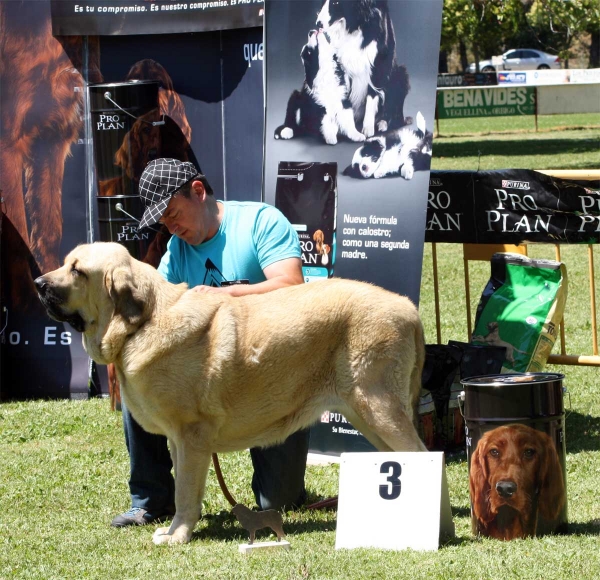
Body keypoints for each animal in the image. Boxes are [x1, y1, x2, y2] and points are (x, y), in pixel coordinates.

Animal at [35, 241, 426, 544]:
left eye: (77, 270)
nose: (38, 283)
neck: (143, 323)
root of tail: (408, 308)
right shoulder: (179, 440)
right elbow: (184, 488)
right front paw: (174, 530)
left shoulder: (192, 436)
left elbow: (185, 492)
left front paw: (177, 535)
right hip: (368, 418)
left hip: (378, 408)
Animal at [314, 0, 408, 137]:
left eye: (336, 2)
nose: (318, 23)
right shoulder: (341, 66)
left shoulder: (378, 66)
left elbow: (371, 97)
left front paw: (368, 129)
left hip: (401, 75)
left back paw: (382, 124)